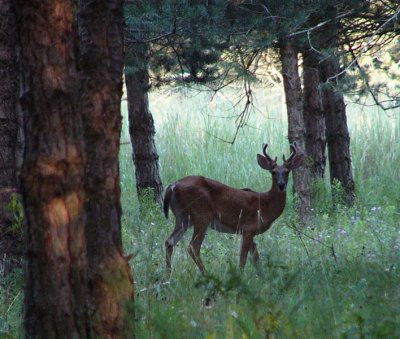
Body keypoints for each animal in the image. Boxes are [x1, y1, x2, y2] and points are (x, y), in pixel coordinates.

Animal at [162, 142, 304, 274]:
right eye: (273, 172)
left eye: (287, 171)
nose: (281, 185)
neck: (265, 204)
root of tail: (172, 186)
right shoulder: (248, 228)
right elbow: (243, 259)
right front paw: (241, 277)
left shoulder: (247, 231)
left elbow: (256, 258)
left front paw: (263, 278)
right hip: (202, 215)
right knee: (193, 247)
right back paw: (206, 275)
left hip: (182, 217)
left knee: (169, 241)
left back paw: (168, 276)